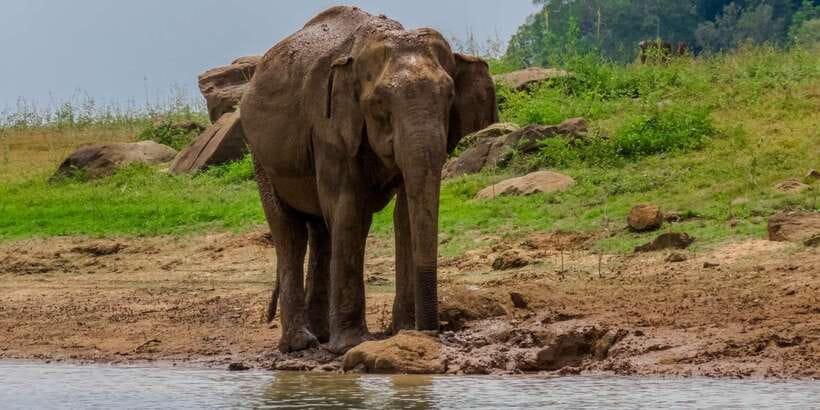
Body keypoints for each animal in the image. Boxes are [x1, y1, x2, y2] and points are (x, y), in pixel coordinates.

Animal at [241, 5, 497, 354]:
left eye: (450, 97)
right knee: (290, 231)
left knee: (321, 230)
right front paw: (351, 345)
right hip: (262, 160)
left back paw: (321, 335)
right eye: (379, 103)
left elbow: (403, 215)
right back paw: (302, 344)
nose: (433, 330)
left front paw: (403, 331)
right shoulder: (329, 128)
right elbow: (350, 209)